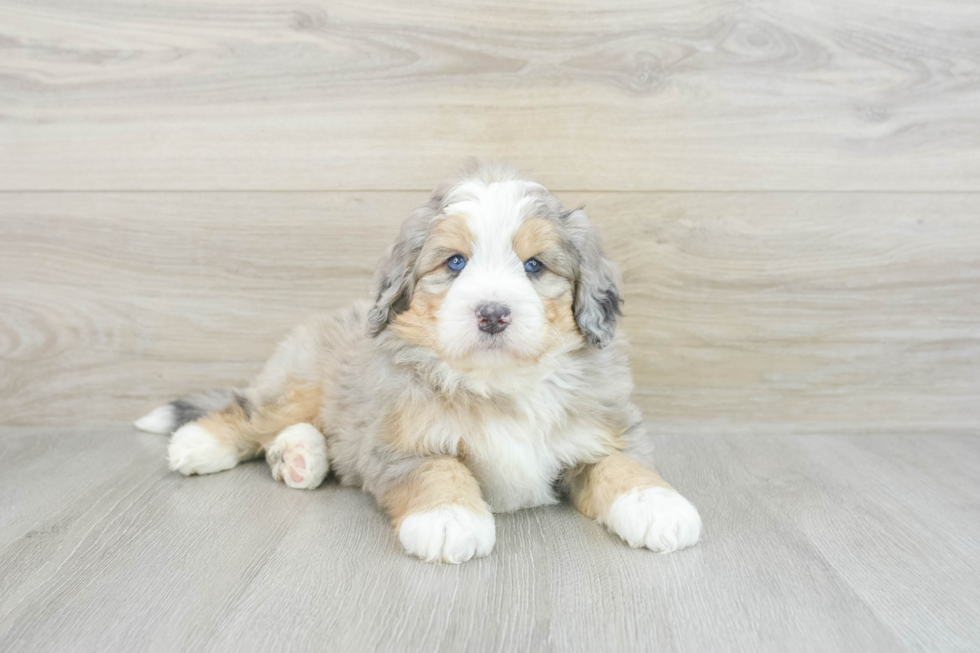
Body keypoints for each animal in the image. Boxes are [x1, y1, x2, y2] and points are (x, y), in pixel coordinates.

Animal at [138, 162, 704, 560]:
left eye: (534, 266)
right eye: (454, 263)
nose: (492, 314)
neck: (499, 385)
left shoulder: (603, 428)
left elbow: (623, 464)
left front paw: (658, 506)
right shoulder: (400, 443)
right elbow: (438, 468)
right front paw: (449, 519)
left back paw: (299, 457)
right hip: (301, 381)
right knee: (251, 411)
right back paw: (200, 443)